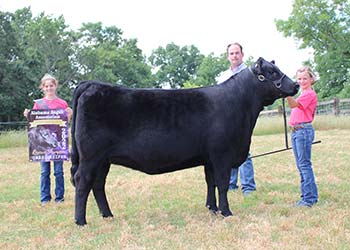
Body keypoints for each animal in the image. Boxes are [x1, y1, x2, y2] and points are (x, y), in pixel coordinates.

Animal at [70, 57, 298, 226]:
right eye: (272, 72)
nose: (296, 84)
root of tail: (92, 84)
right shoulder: (222, 155)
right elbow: (223, 184)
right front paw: (226, 212)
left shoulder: (209, 158)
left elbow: (210, 182)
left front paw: (212, 209)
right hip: (91, 157)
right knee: (83, 182)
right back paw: (81, 221)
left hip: (104, 160)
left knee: (98, 185)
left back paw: (108, 215)